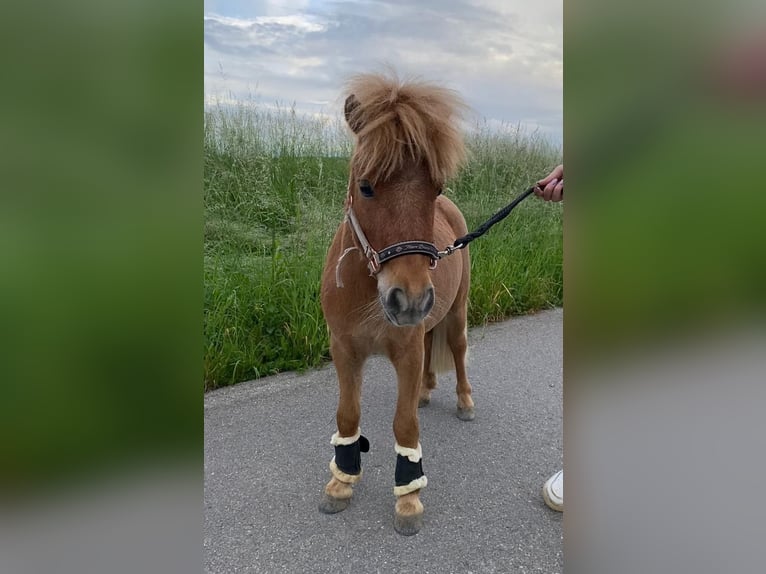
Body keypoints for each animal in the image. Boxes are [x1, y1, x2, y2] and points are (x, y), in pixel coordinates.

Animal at [318, 72, 474, 536]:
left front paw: (408, 498)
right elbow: (348, 415)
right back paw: (425, 391)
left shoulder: (405, 349)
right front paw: (341, 483)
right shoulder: (345, 350)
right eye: (366, 186)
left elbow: (404, 424)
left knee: (457, 349)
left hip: (455, 313)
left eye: (435, 188)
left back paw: (464, 402)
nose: (411, 299)